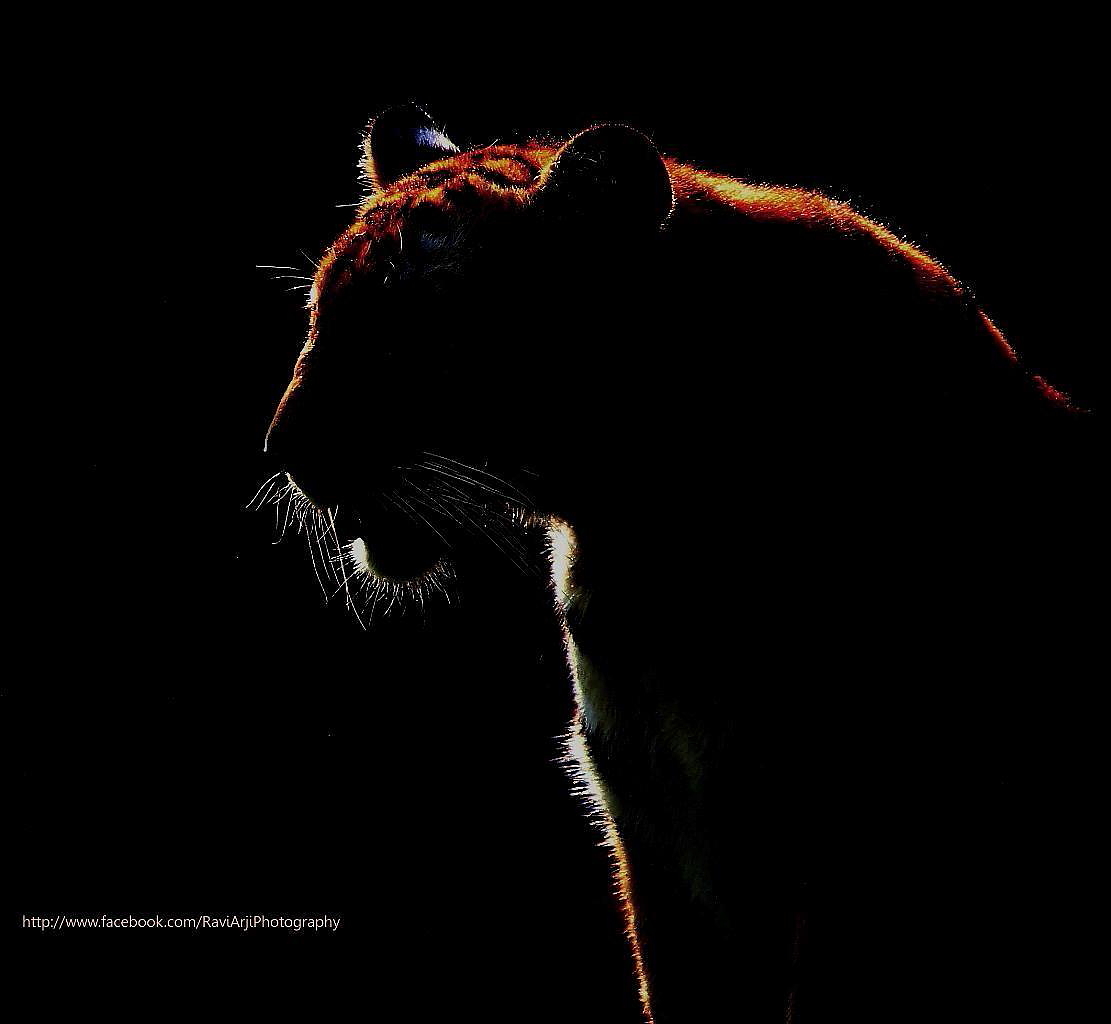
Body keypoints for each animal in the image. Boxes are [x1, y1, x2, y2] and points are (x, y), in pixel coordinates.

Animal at [262, 103, 1088, 1022]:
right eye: (320, 312)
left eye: (404, 333)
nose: (281, 451)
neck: (640, 545)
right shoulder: (657, 848)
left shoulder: (833, 850)